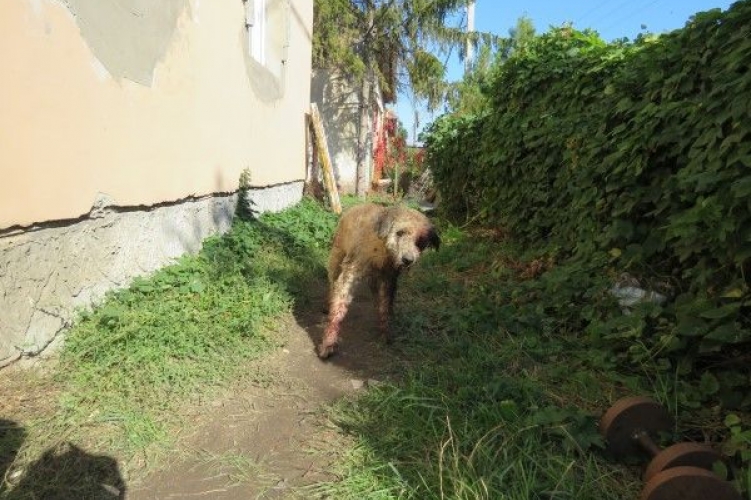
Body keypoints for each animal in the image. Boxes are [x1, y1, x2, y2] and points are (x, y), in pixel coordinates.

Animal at [318, 203, 440, 360]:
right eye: (400, 233)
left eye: (421, 241)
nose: (408, 260)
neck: (381, 250)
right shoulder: (349, 276)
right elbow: (338, 311)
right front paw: (328, 343)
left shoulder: (388, 280)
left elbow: (384, 306)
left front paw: (385, 331)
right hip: (336, 258)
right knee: (332, 283)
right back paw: (328, 302)